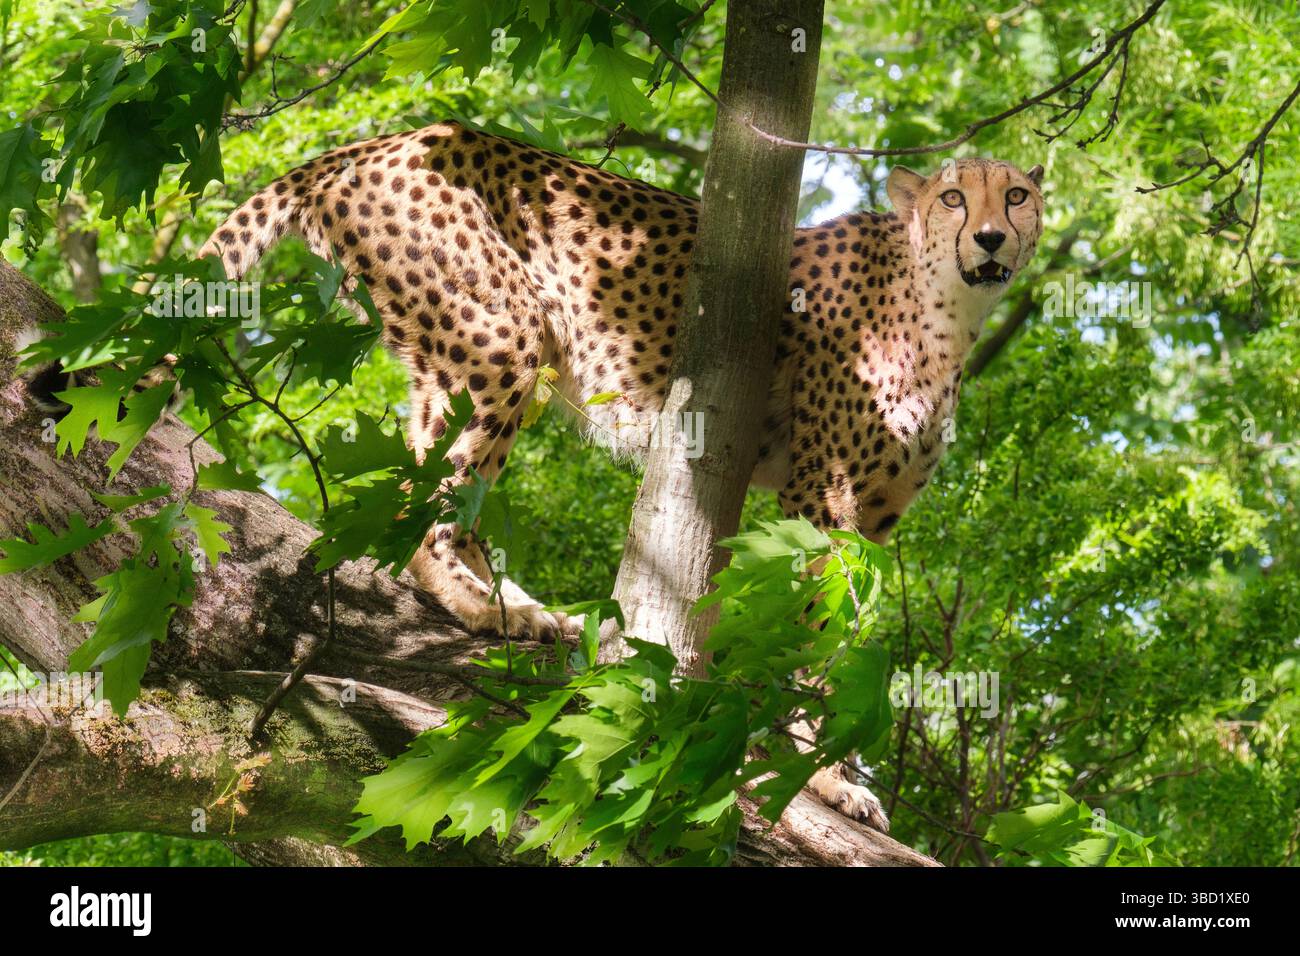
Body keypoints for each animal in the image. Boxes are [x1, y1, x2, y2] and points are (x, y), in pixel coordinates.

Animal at [201, 120, 1044, 832]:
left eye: (1017, 195)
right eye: (954, 197)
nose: (991, 236)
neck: (948, 310)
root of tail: (391, 135)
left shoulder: (873, 518)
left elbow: (839, 640)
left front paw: (833, 765)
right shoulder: (821, 496)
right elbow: (809, 638)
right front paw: (822, 775)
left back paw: (527, 607)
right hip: (499, 339)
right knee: (429, 500)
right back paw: (482, 609)